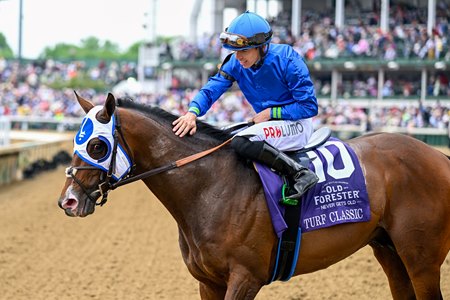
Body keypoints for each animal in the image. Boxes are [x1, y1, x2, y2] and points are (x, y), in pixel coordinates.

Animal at [58, 92, 448, 298]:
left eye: (96, 145)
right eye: (78, 140)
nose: (68, 201)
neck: (210, 189)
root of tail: (437, 155)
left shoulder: (246, 278)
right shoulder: (208, 282)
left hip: (422, 259)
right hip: (389, 251)